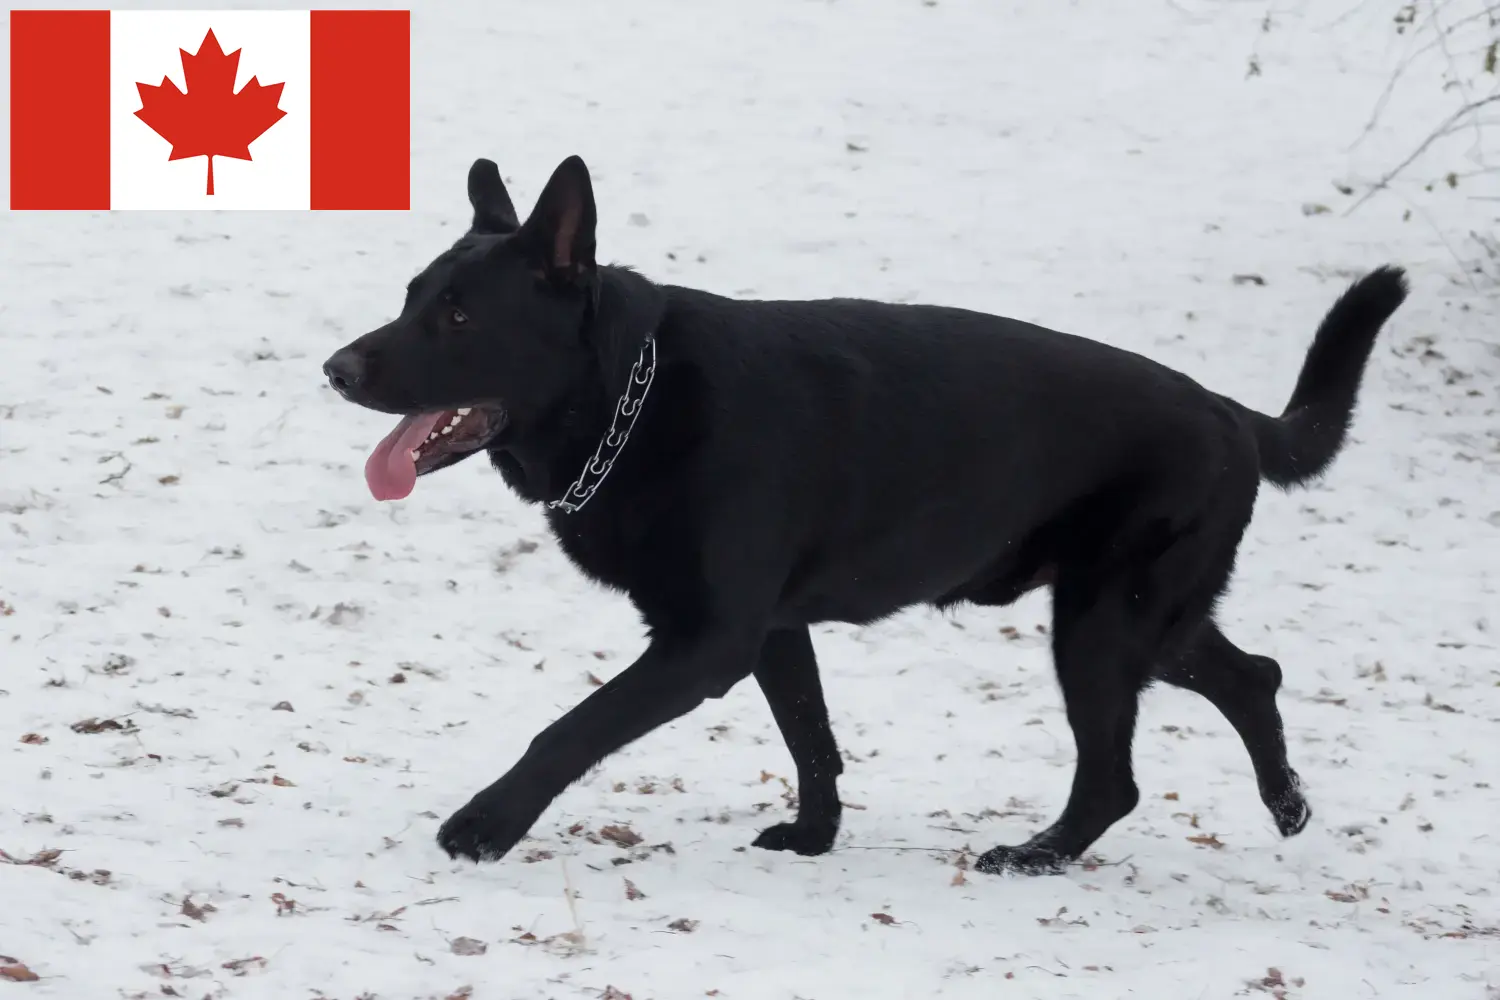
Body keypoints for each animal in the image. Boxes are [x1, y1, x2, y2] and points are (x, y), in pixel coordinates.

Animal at [322, 156, 1410, 875]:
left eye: (460, 315)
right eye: (412, 295)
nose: (335, 368)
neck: (635, 396)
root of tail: (1231, 413)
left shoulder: (705, 643)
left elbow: (569, 729)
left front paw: (486, 824)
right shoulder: (771, 632)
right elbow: (812, 737)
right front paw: (815, 838)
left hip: (1103, 628)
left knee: (1118, 777)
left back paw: (1037, 854)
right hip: (1145, 623)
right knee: (1253, 676)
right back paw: (1285, 805)